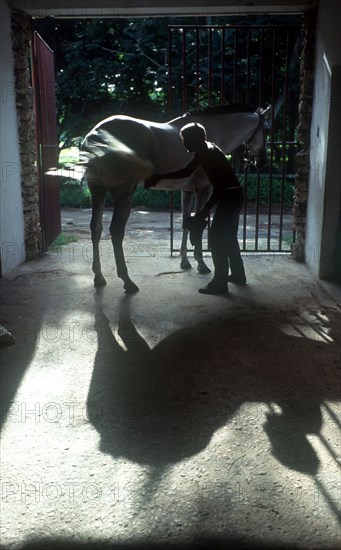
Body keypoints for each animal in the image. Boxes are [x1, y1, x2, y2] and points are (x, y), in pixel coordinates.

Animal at [79, 104, 268, 294]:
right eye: (266, 129)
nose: (262, 162)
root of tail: (95, 134)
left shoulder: (187, 191)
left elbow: (185, 223)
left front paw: (185, 261)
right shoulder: (203, 190)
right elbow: (198, 225)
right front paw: (201, 264)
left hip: (97, 191)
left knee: (96, 228)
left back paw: (99, 277)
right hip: (123, 193)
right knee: (116, 231)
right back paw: (127, 281)